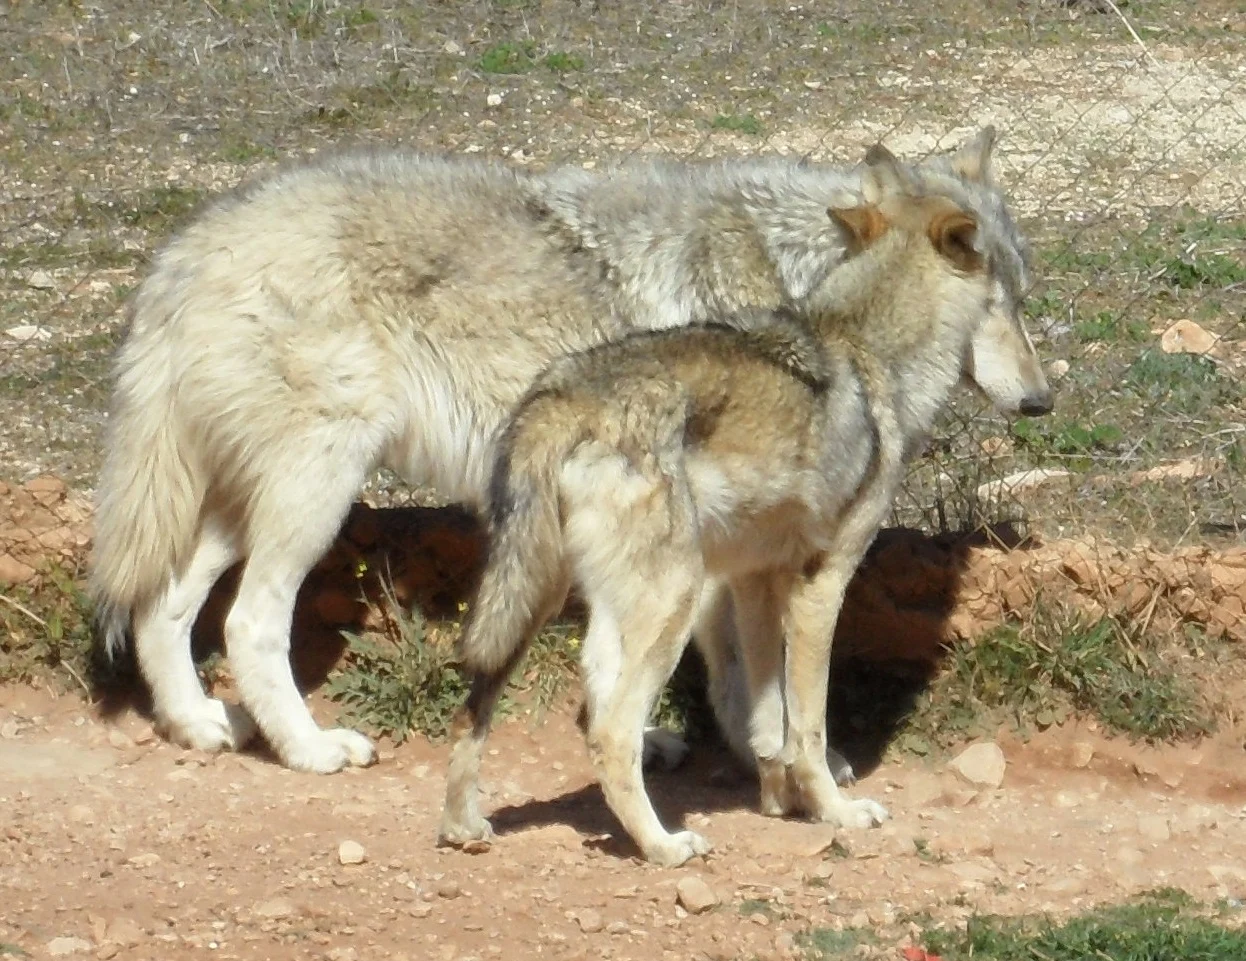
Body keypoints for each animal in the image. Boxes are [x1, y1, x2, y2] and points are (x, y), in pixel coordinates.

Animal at [91, 128, 1052, 775]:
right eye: (995, 303)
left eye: (1022, 297)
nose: (1043, 399)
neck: (808, 281)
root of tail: (181, 249)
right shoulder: (713, 549)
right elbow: (744, 675)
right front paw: (774, 758)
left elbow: (619, 658)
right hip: (314, 495)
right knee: (248, 624)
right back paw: (311, 748)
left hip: (243, 506)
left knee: (160, 604)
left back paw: (197, 725)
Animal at [437, 158, 1044, 866]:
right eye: (1011, 305)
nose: (1043, 400)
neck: (871, 348)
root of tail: (562, 397)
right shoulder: (820, 586)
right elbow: (806, 725)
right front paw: (834, 811)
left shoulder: (754, 582)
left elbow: (765, 720)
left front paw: (779, 803)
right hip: (664, 606)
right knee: (608, 731)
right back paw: (663, 847)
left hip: (543, 600)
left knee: (486, 704)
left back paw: (463, 827)